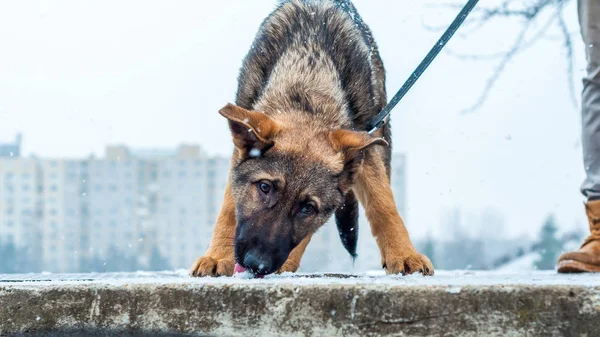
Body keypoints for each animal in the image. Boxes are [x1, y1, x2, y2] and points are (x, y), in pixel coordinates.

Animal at [190, 0, 434, 276]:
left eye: (307, 208)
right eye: (264, 187)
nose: (257, 264)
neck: (307, 85)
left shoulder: (366, 147)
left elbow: (383, 204)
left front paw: (404, 255)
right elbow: (230, 209)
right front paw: (217, 256)